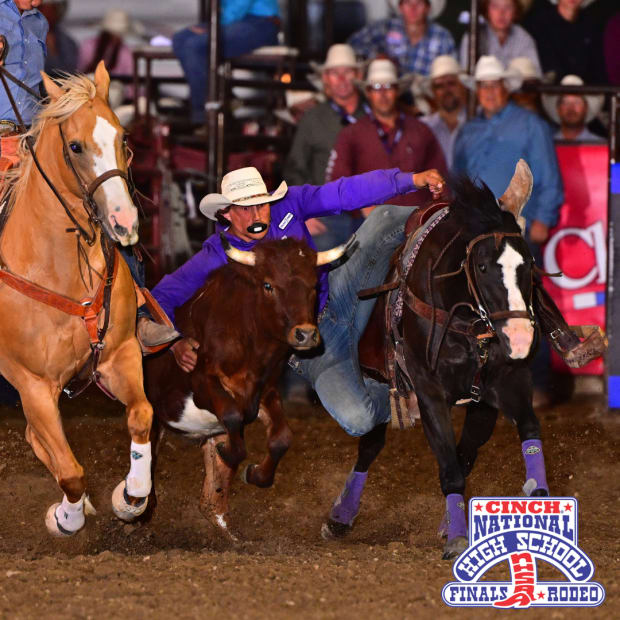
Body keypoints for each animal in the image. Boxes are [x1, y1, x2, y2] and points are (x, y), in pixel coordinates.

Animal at [0, 64, 154, 536]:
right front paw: (65, 518)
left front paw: (131, 497)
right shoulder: (32, 384)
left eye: (123, 137)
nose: (124, 222)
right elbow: (70, 470)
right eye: (75, 146)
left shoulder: (121, 353)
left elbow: (142, 415)